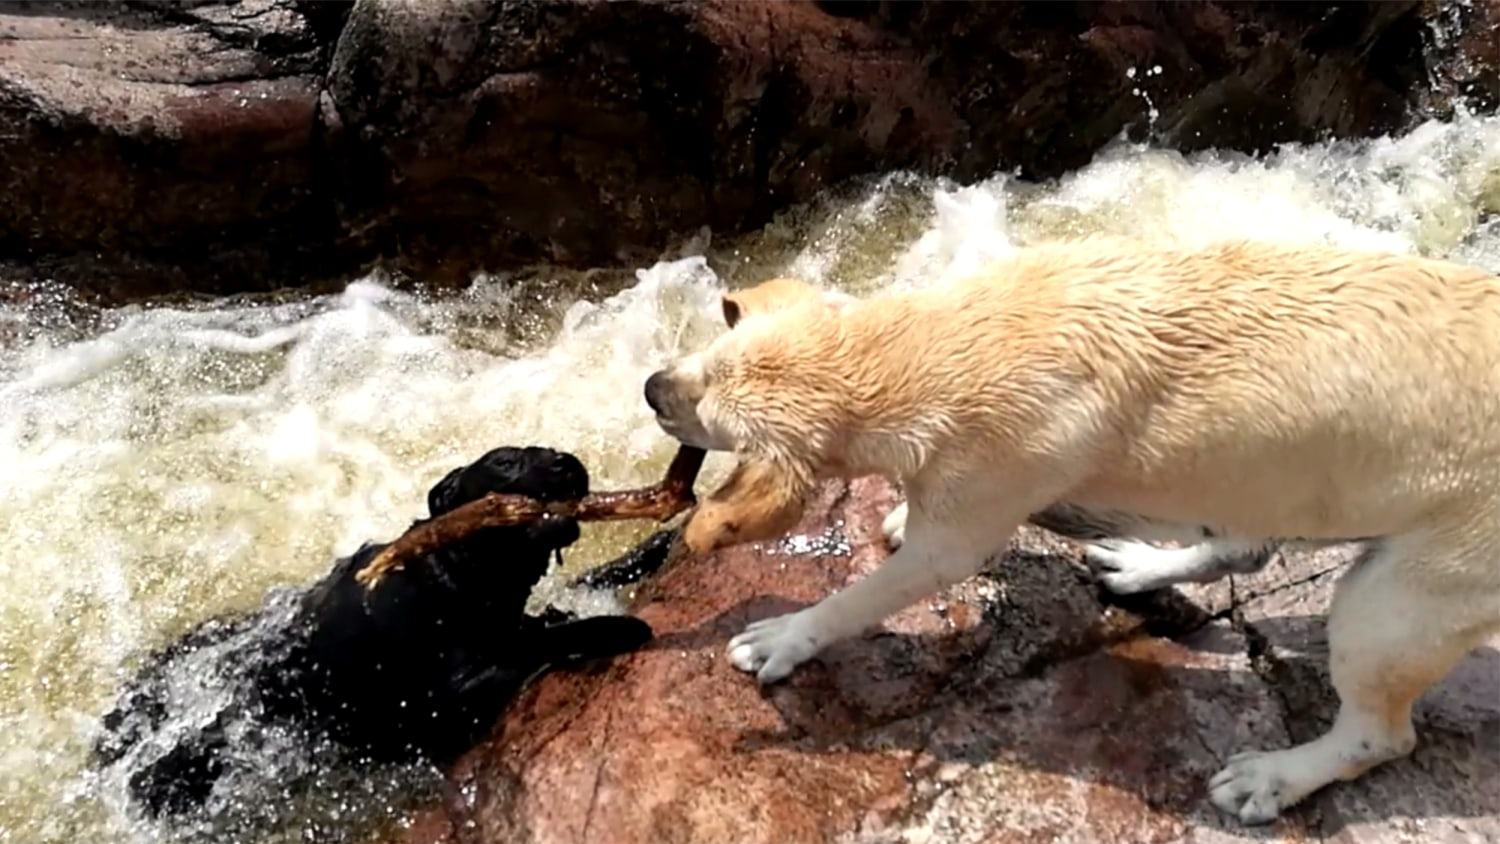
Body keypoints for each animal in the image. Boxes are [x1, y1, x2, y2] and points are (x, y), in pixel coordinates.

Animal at [99, 449, 663, 827]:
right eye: (505, 461)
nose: (568, 464)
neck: (448, 574)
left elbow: (577, 590)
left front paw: (654, 545)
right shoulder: (449, 699)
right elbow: (541, 641)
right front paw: (613, 626)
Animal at [645, 238, 1500, 827]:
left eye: (711, 414)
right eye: (706, 357)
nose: (651, 386)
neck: (941, 346)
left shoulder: (971, 516)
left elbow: (866, 595)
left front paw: (783, 638)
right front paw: (895, 511)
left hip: (1399, 599)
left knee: (1379, 734)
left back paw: (1275, 777)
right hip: (1266, 482)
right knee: (1247, 542)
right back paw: (1143, 565)